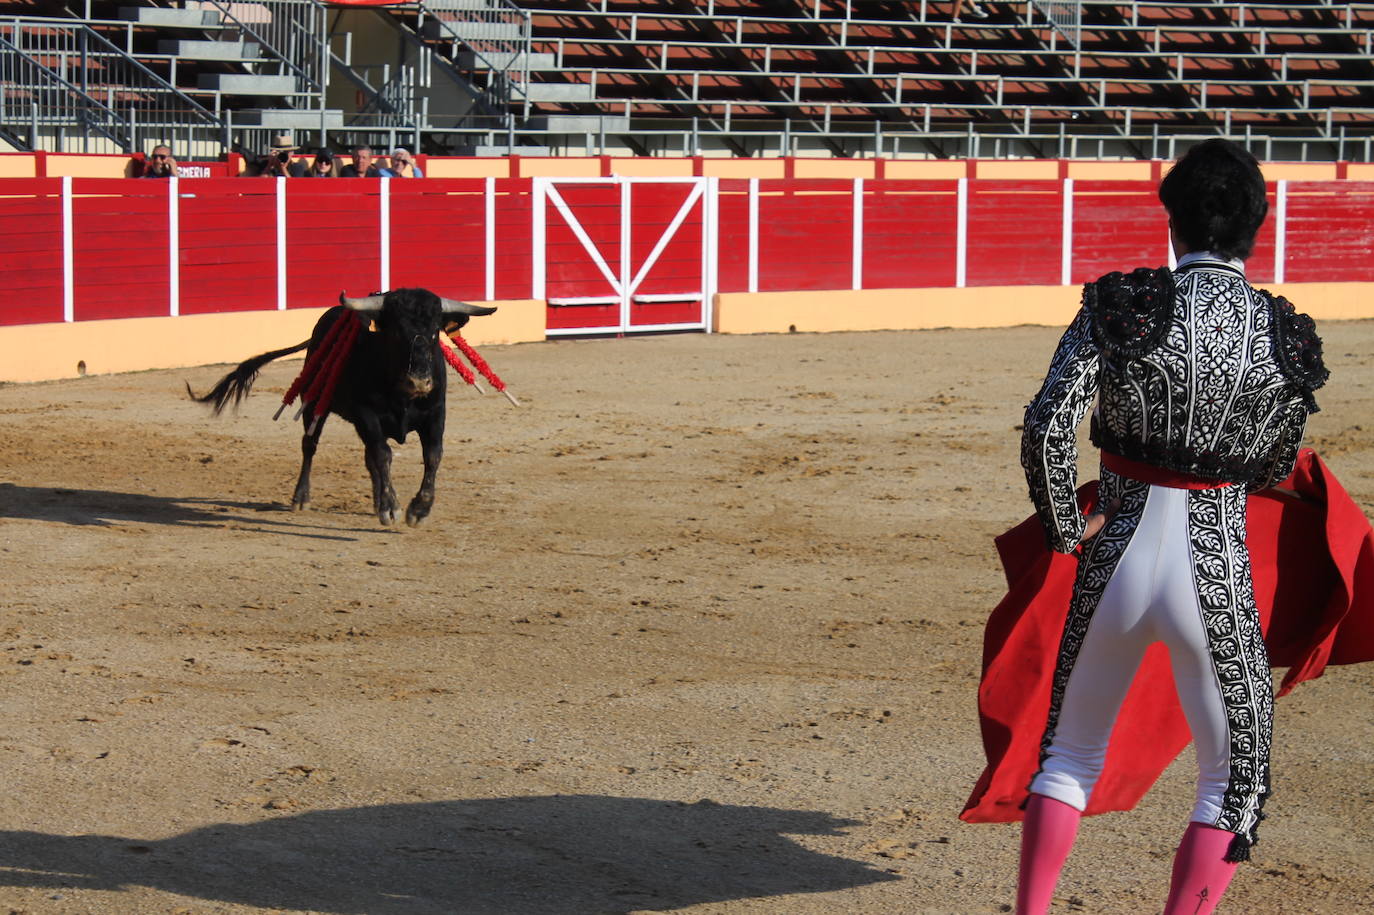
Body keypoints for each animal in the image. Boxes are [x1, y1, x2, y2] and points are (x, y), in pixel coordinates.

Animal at [190, 285, 497, 527]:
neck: (401, 393)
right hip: (314, 403)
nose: (419, 381)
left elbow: (432, 456)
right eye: (396, 331)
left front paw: (418, 509)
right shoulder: (367, 415)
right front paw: (391, 508)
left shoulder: (435, 413)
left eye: (435, 331)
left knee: (368, 457)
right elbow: (383, 455)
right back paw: (301, 497)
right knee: (310, 446)